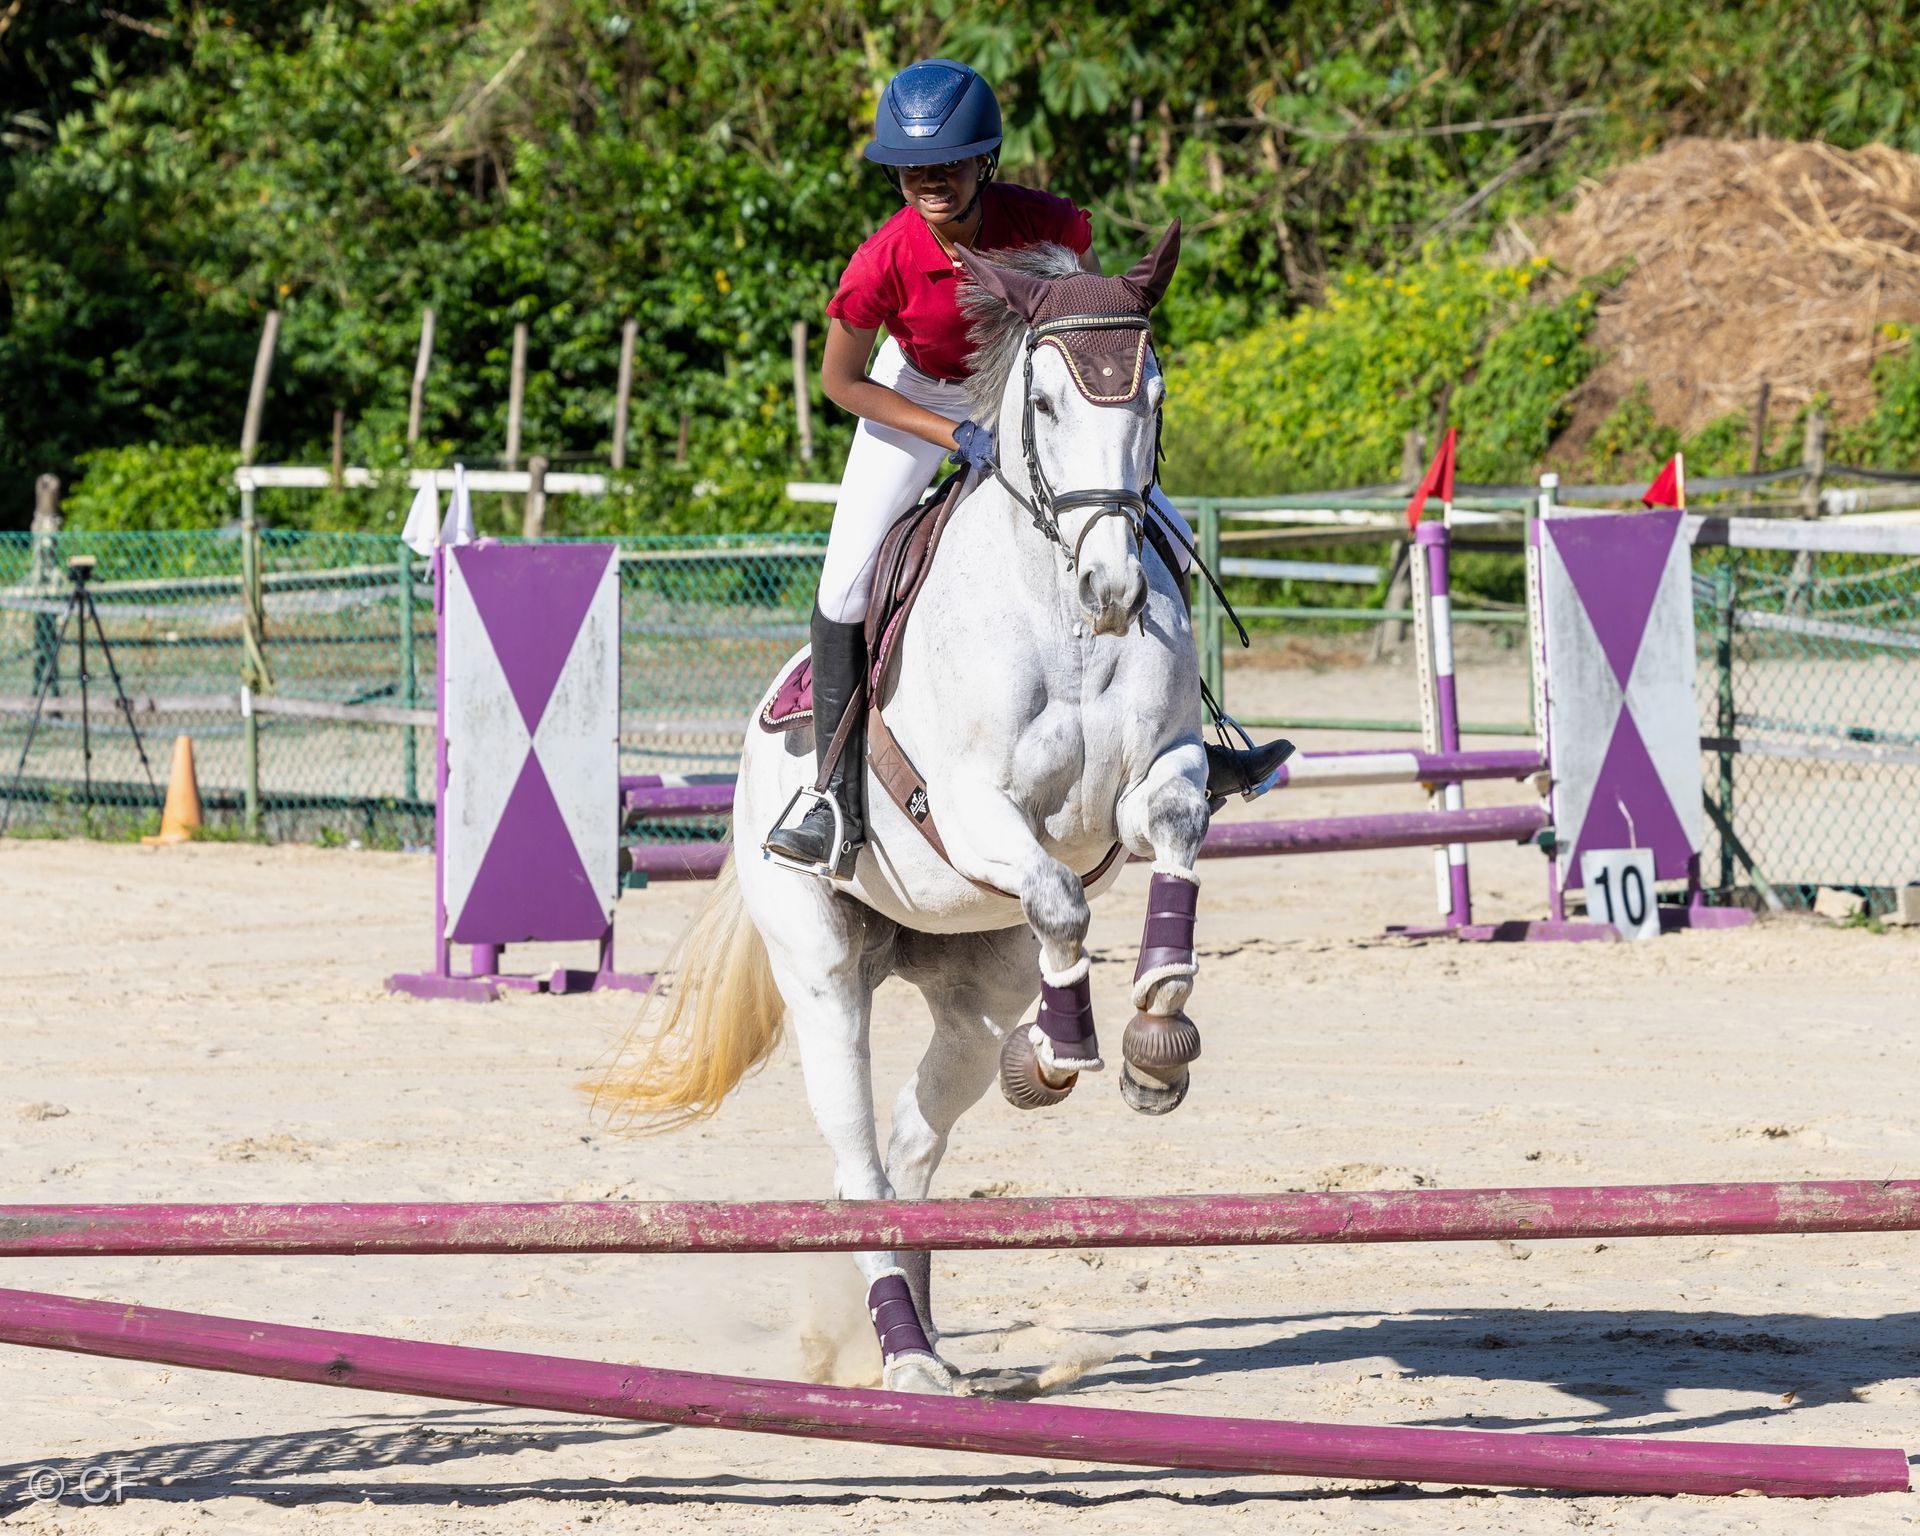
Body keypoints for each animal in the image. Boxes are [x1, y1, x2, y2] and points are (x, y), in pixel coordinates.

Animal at [601, 223, 1214, 1394]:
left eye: (1155, 394)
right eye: (1047, 404)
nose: (1115, 590)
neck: (1058, 614)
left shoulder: (1164, 773)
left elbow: (1173, 841)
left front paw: (1155, 1032)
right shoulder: (976, 810)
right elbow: (1060, 896)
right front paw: (1066, 1052)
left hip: (969, 989)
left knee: (915, 1144)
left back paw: (923, 1333)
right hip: (824, 969)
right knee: (859, 1162)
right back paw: (904, 1353)